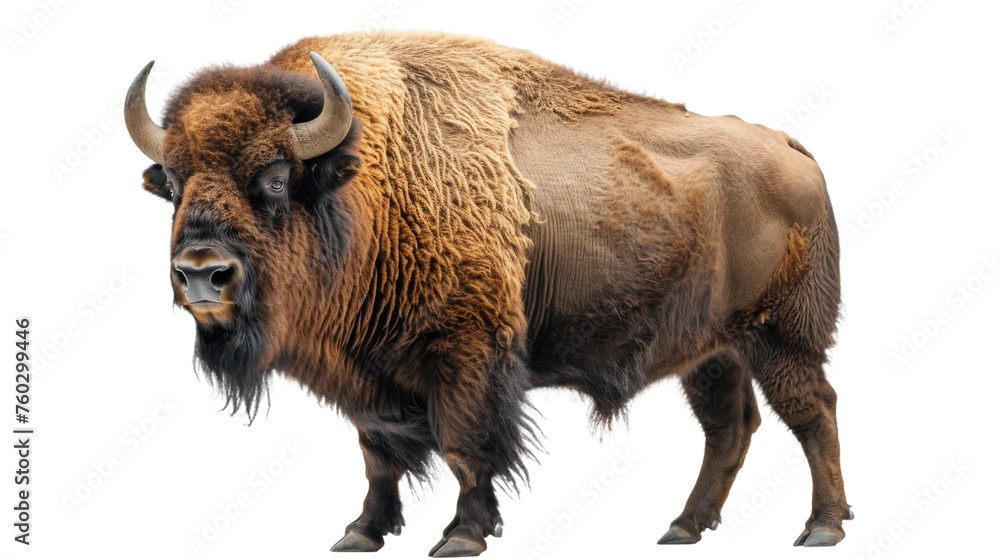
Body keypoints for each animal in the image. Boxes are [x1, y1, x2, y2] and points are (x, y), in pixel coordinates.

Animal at [125, 31, 852, 556]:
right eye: (174, 184)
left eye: (275, 179)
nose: (201, 272)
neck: (364, 188)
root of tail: (791, 148)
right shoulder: (366, 377)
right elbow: (377, 456)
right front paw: (360, 534)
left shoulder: (467, 354)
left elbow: (465, 447)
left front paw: (461, 536)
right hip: (713, 351)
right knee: (730, 427)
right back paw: (682, 527)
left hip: (781, 336)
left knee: (812, 410)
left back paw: (822, 527)